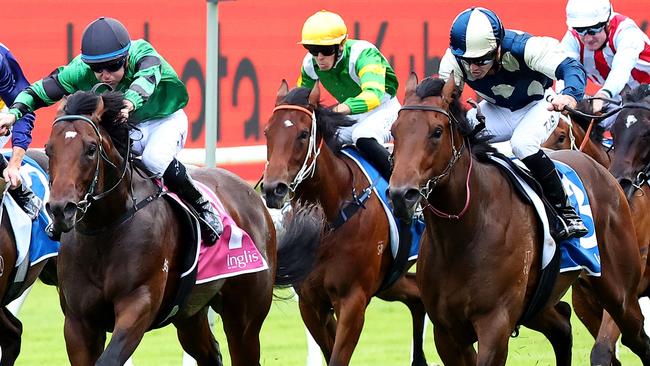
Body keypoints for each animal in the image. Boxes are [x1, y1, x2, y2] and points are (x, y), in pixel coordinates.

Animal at [43, 89, 278, 366]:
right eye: (49, 149)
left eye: (91, 149)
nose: (61, 209)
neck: (105, 228)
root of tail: (253, 195)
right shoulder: (78, 321)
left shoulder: (138, 303)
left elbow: (110, 358)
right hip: (190, 314)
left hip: (244, 316)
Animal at [260, 81, 428, 366]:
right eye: (267, 132)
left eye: (303, 134)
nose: (273, 189)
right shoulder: (310, 303)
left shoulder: (353, 300)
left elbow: (338, 356)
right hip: (390, 279)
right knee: (417, 296)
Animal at [384, 74, 648, 366]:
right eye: (394, 130)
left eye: (437, 131)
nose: (401, 195)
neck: (463, 231)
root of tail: (604, 172)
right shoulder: (447, 331)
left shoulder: (495, 323)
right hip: (539, 302)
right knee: (562, 326)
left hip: (619, 292)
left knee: (637, 337)